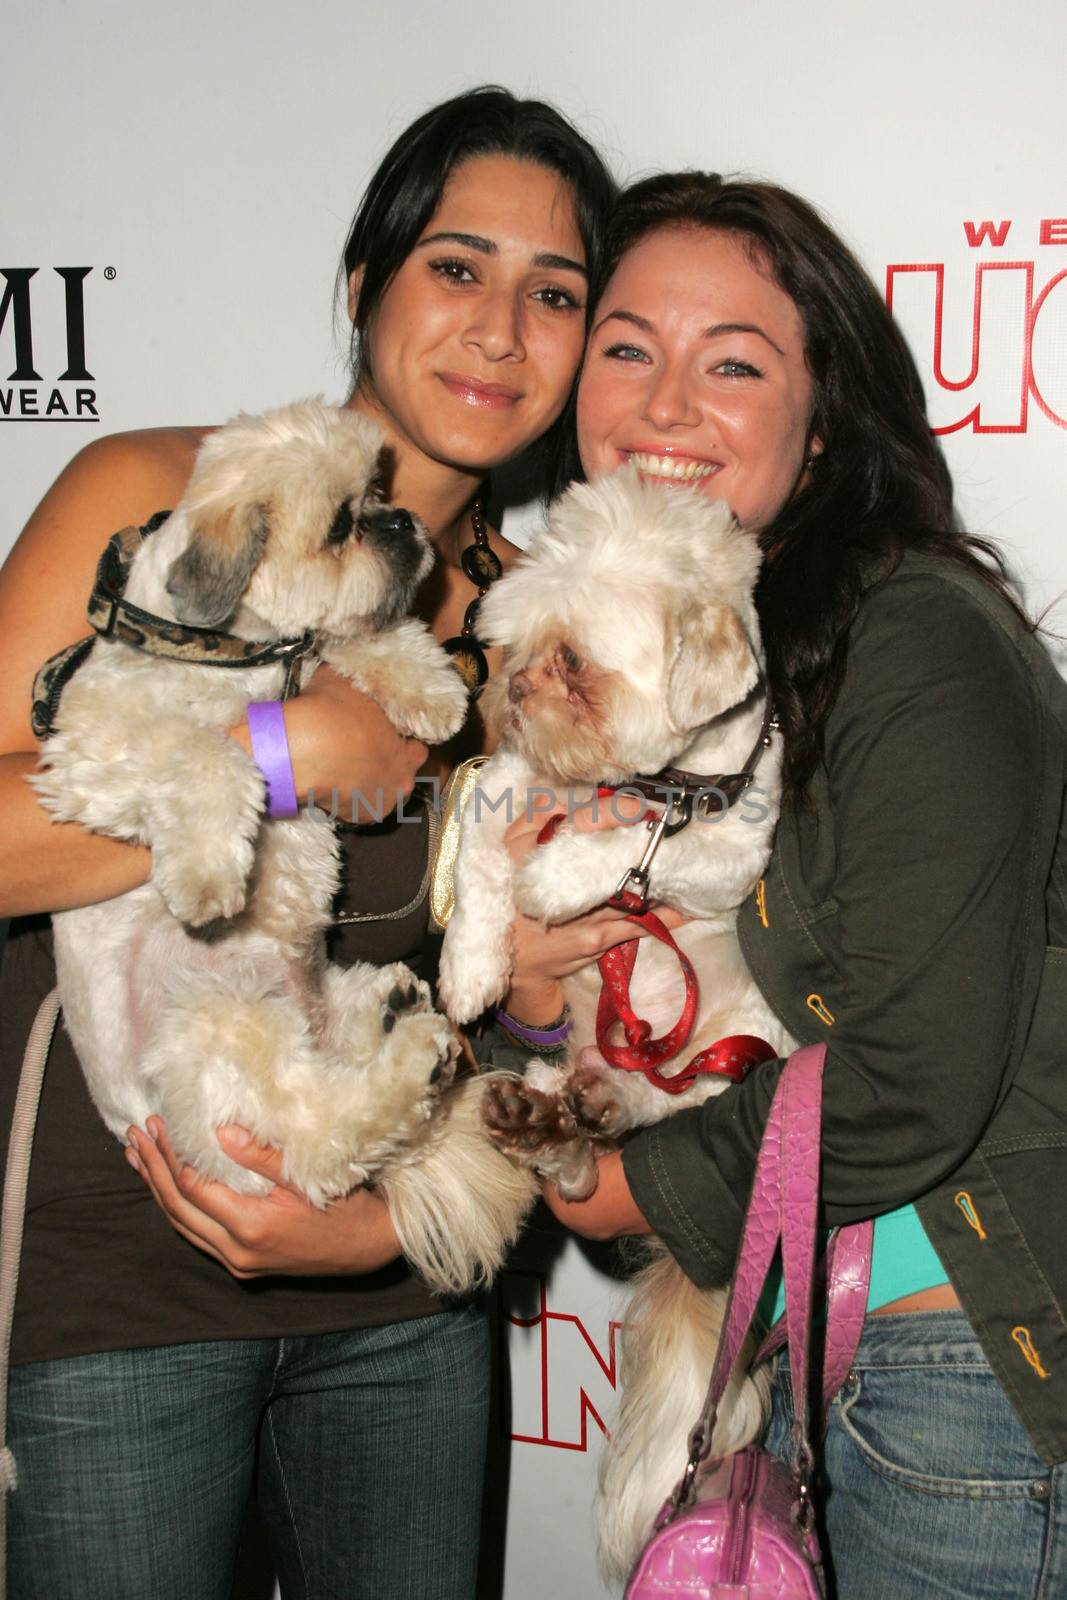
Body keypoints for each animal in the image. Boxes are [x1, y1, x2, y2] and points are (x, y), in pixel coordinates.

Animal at [32, 403, 479, 1209]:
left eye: (378, 492)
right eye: (342, 524)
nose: (402, 521)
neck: (235, 656)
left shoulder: (315, 643)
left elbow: (365, 636)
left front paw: (429, 692)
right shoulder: (94, 745)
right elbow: (210, 753)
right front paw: (209, 874)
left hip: (298, 1005)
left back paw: (392, 1012)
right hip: (215, 1027)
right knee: (322, 1139)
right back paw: (407, 1062)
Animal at [438, 467, 796, 1580]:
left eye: (573, 663)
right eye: (507, 644)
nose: (509, 690)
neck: (630, 782)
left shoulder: (726, 848)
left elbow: (632, 854)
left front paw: (559, 878)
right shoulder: (508, 792)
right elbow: (482, 870)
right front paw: (470, 966)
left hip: (738, 1051)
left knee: (647, 1107)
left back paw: (594, 1107)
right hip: (590, 1055)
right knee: (573, 1153)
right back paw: (546, 1120)